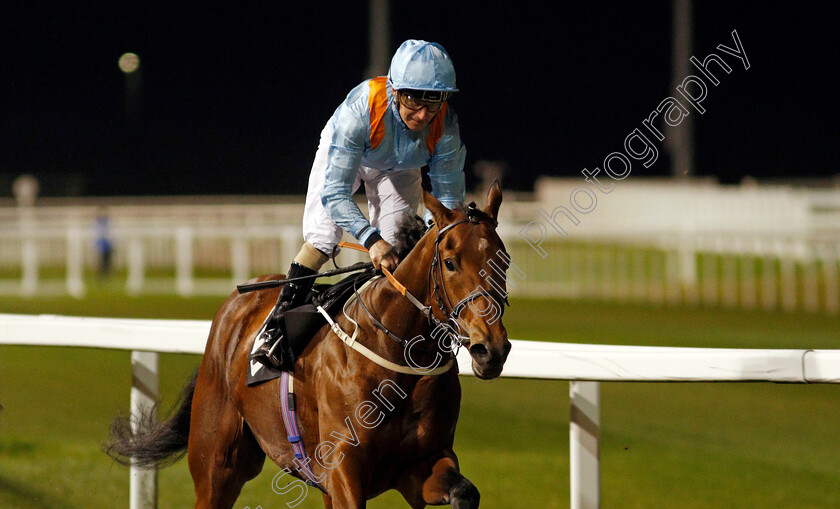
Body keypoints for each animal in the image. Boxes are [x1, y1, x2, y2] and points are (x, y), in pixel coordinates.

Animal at [107, 181, 508, 506]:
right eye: (450, 262)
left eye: (503, 261)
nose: (491, 349)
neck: (399, 353)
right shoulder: (343, 467)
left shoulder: (422, 463)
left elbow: (464, 492)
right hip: (218, 466)